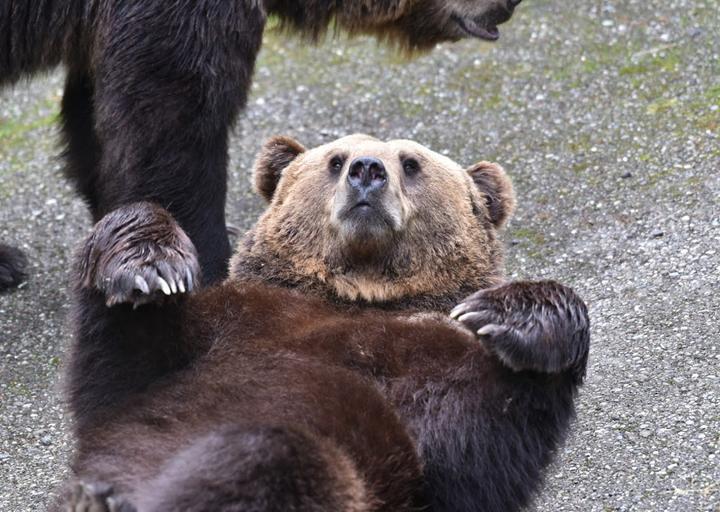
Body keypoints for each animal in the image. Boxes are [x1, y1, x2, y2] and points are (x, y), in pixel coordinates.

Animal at [60, 134, 592, 510]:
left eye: (411, 163)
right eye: (336, 159)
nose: (367, 170)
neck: (358, 294)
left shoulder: (423, 366)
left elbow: (474, 448)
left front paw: (510, 316)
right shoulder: (237, 320)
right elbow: (122, 371)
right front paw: (149, 263)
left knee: (272, 456)